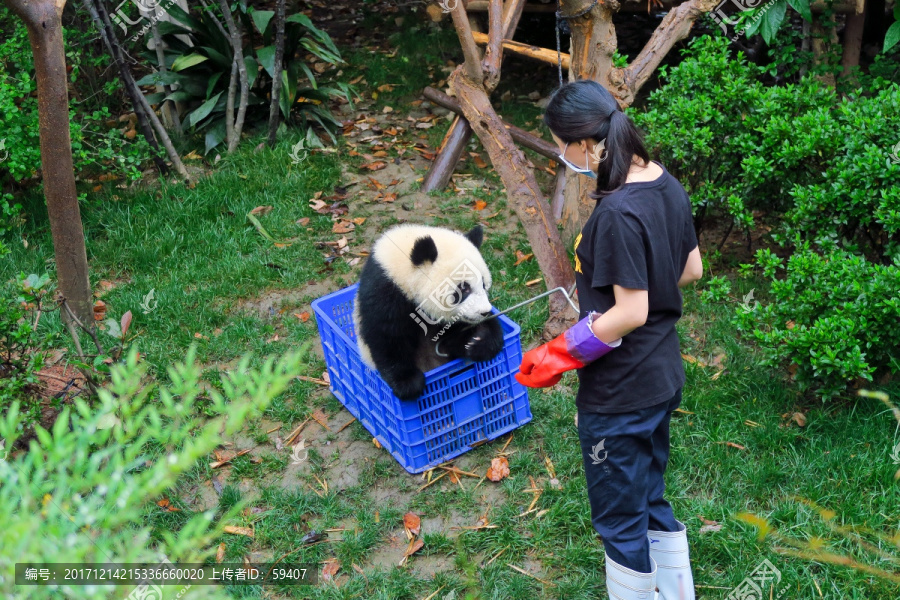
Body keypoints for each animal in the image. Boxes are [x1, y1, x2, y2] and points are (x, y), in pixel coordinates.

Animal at [352, 223, 506, 400]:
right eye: (463, 289)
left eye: (483, 284)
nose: (484, 312)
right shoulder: (385, 291)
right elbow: (386, 337)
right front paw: (408, 383)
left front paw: (479, 341)